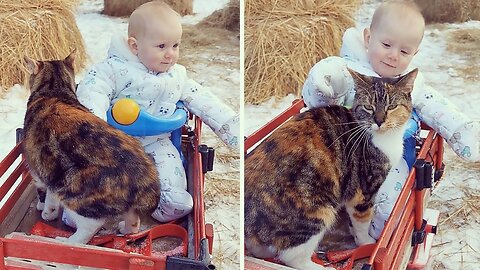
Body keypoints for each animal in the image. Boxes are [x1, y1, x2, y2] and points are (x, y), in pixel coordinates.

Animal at [22, 51, 160, 245]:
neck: (54, 91)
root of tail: (145, 177)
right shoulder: (51, 170)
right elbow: (50, 195)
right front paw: (50, 211)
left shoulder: (37, 168)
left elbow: (43, 191)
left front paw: (45, 211)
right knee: (134, 221)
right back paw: (125, 229)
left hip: (73, 189)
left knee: (90, 227)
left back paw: (66, 241)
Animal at [246, 68, 418, 268]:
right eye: (369, 107)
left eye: (392, 106)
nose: (379, 121)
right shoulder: (364, 190)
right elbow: (362, 221)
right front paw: (365, 242)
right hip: (317, 211)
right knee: (291, 257)